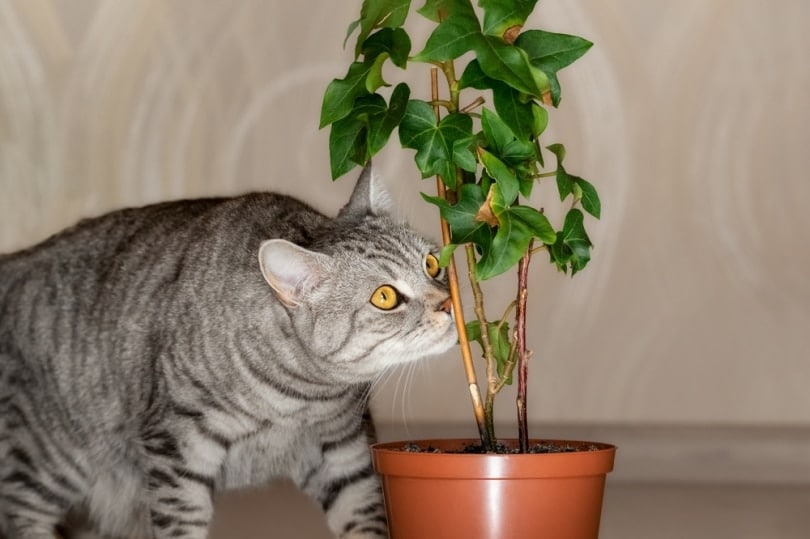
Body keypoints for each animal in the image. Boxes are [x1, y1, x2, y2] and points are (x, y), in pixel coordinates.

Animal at [0, 166, 454, 539]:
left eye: (432, 264)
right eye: (385, 297)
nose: (448, 303)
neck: (301, 397)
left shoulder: (345, 454)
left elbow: (365, 519)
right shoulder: (179, 447)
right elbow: (182, 525)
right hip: (49, 460)